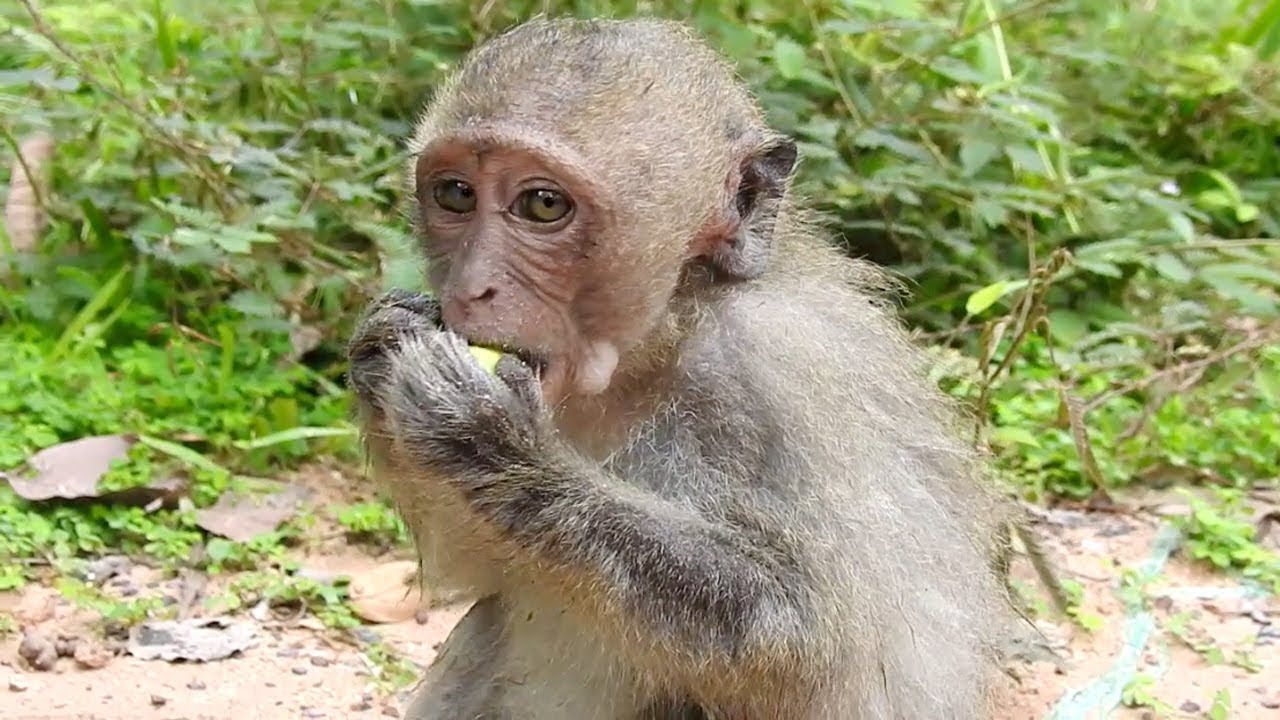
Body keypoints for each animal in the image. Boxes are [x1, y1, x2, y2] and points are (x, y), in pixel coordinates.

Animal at [347, 16, 1024, 720]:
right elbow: (482, 568)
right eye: (455, 194)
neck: (667, 333)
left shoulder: (782, 369)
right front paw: (383, 346)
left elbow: (822, 640)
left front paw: (494, 448)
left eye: (542, 205)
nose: (469, 288)